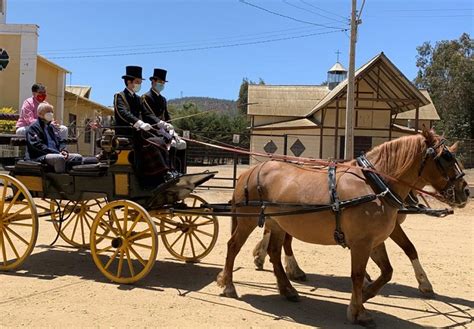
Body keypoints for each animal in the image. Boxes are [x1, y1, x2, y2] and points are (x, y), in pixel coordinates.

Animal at [217, 129, 468, 324]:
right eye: (446, 157)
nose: (465, 191)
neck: (376, 186)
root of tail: (249, 171)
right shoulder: (361, 243)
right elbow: (357, 274)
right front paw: (358, 310)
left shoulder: (374, 241)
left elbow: (387, 271)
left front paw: (364, 295)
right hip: (248, 220)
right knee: (233, 246)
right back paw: (228, 285)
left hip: (278, 222)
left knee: (274, 252)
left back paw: (287, 288)